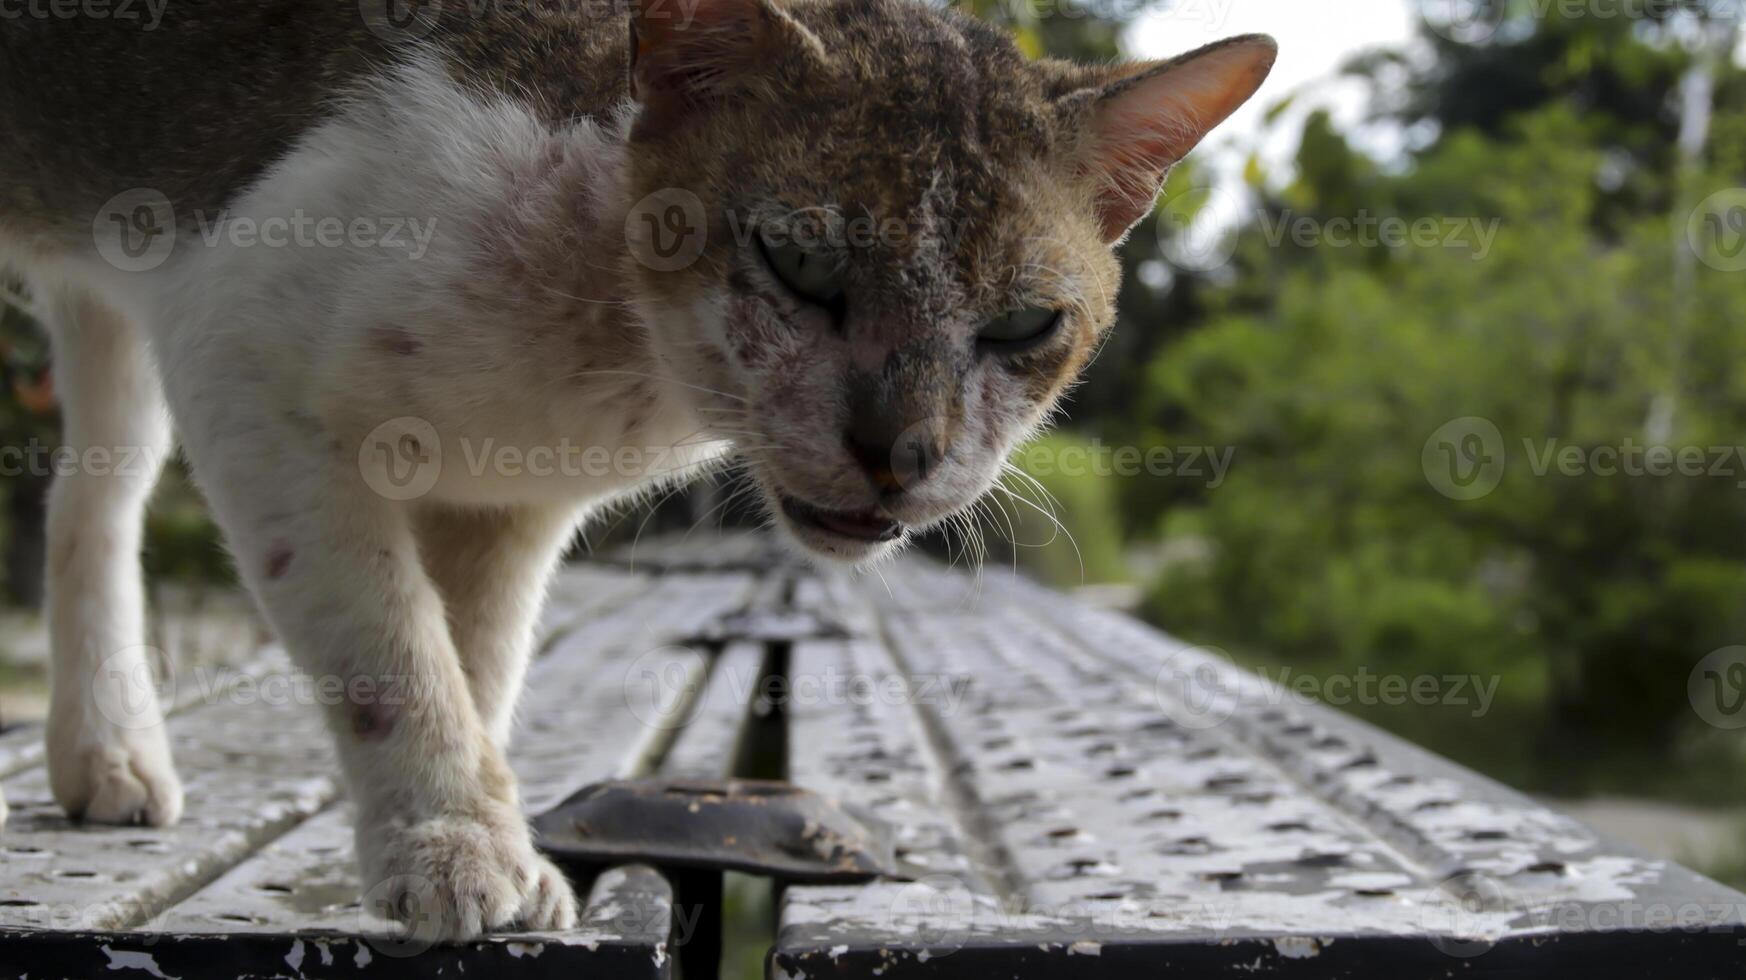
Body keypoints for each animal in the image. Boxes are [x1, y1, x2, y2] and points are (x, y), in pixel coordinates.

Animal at [0, 0, 1278, 936]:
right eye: (800, 261)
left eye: (1024, 325)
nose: (901, 450)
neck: (601, 338)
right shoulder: (242, 365)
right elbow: (390, 655)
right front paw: (453, 843)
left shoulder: (501, 505)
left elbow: (475, 662)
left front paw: (474, 822)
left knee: (89, 495)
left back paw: (103, 747)